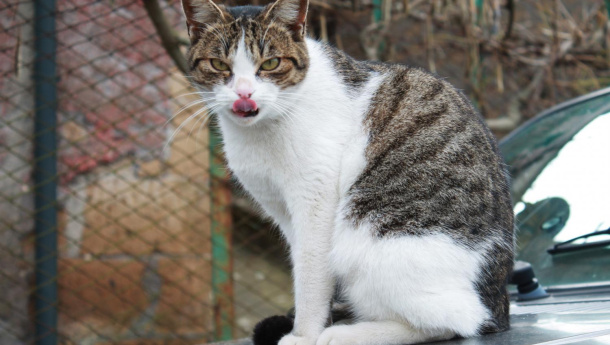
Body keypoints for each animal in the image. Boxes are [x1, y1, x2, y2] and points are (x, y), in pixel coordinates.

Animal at [179, 0, 512, 342]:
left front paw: (304, 336)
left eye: (270, 63)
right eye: (219, 64)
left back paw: (349, 334)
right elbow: (305, 270)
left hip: (373, 244)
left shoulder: (315, 201)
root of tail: (499, 304)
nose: (244, 94)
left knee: (452, 322)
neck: (260, 131)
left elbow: (311, 276)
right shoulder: (284, 213)